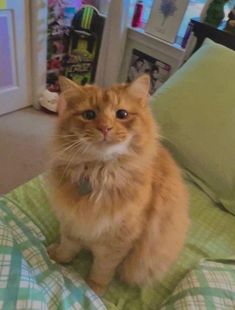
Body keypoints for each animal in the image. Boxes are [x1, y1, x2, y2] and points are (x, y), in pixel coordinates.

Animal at [47, 75, 189, 296]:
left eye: (122, 114)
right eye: (89, 114)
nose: (105, 128)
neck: (99, 175)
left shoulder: (117, 241)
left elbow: (102, 268)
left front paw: (94, 288)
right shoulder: (72, 223)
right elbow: (67, 247)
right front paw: (57, 258)